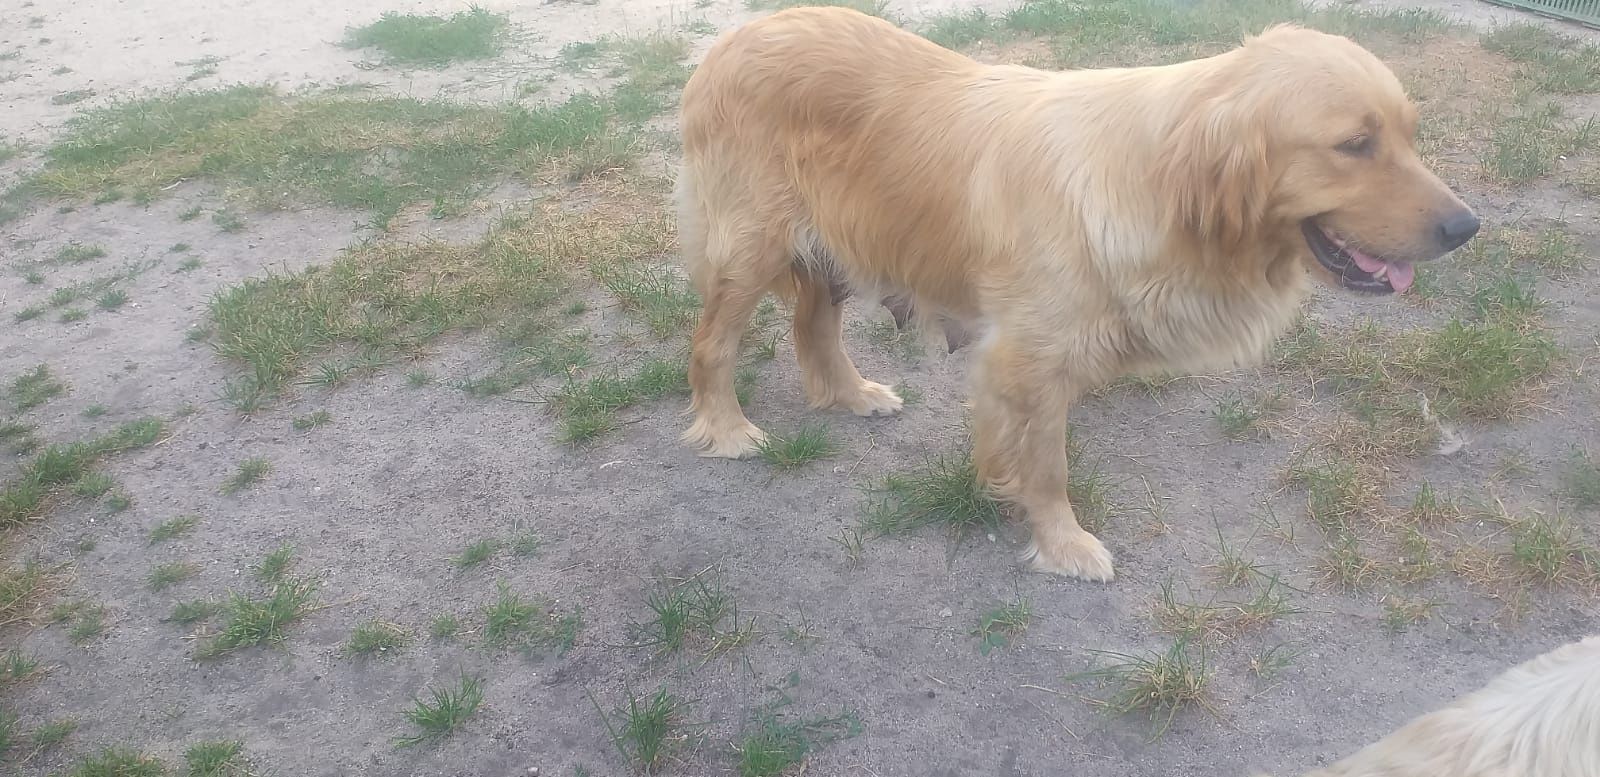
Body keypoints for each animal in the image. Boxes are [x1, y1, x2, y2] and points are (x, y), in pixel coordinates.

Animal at [672, 4, 1472, 575]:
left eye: (1408, 134)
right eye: (1354, 145)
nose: (1467, 226)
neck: (1157, 185)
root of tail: (729, 41)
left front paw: (1007, 491)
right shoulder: (1030, 356)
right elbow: (1050, 465)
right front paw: (1062, 545)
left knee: (812, 324)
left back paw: (849, 394)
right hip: (752, 246)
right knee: (711, 344)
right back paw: (727, 428)